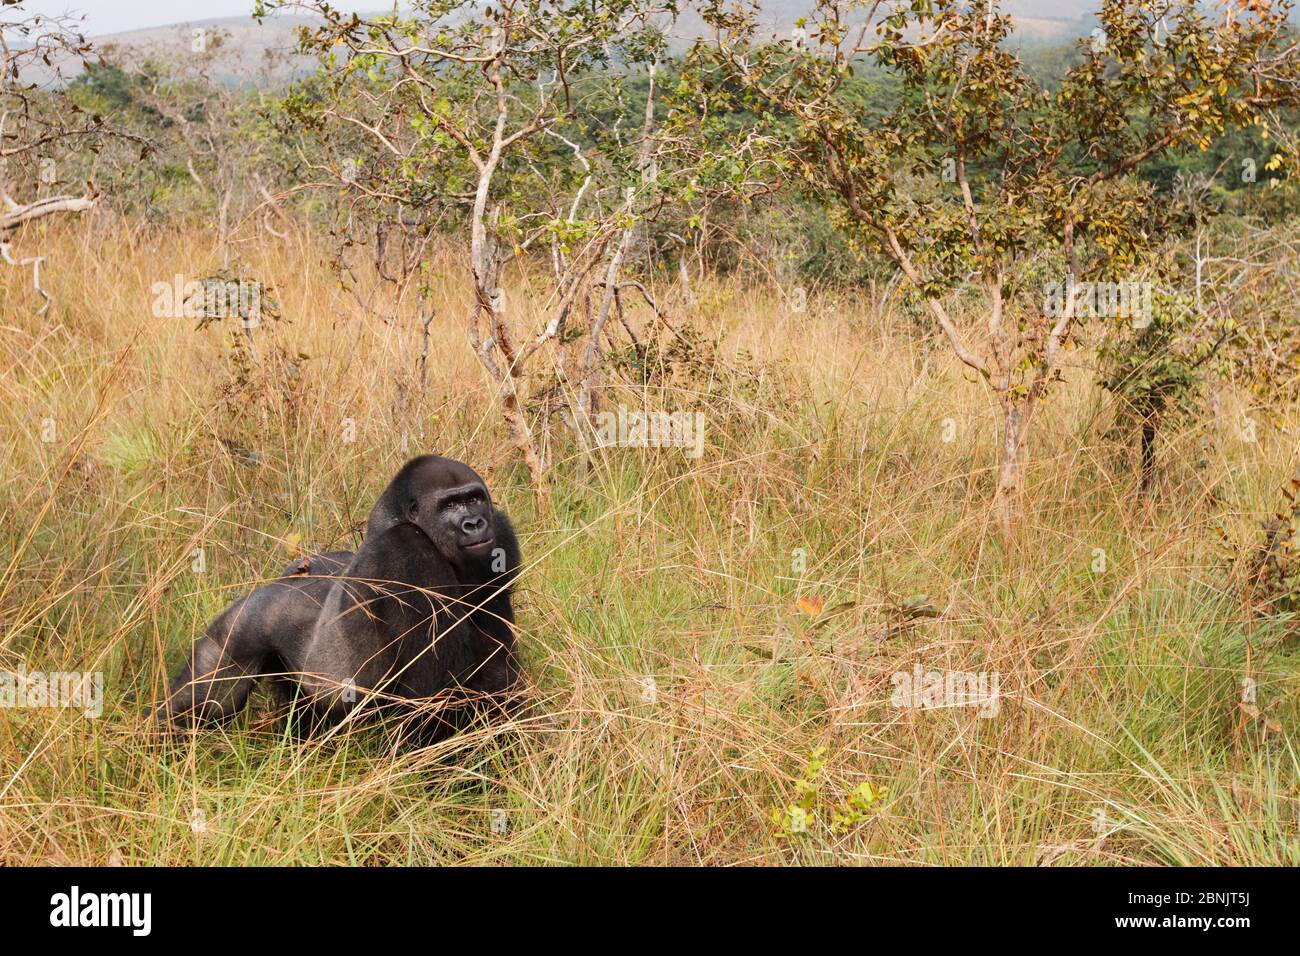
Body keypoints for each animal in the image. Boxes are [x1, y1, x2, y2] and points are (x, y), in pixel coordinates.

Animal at [161, 457, 522, 749]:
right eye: (449, 505)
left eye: (474, 498)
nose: (475, 523)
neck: (393, 519)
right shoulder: (407, 551)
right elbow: (434, 695)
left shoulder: (500, 536)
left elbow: (497, 671)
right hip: (239, 629)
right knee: (203, 702)